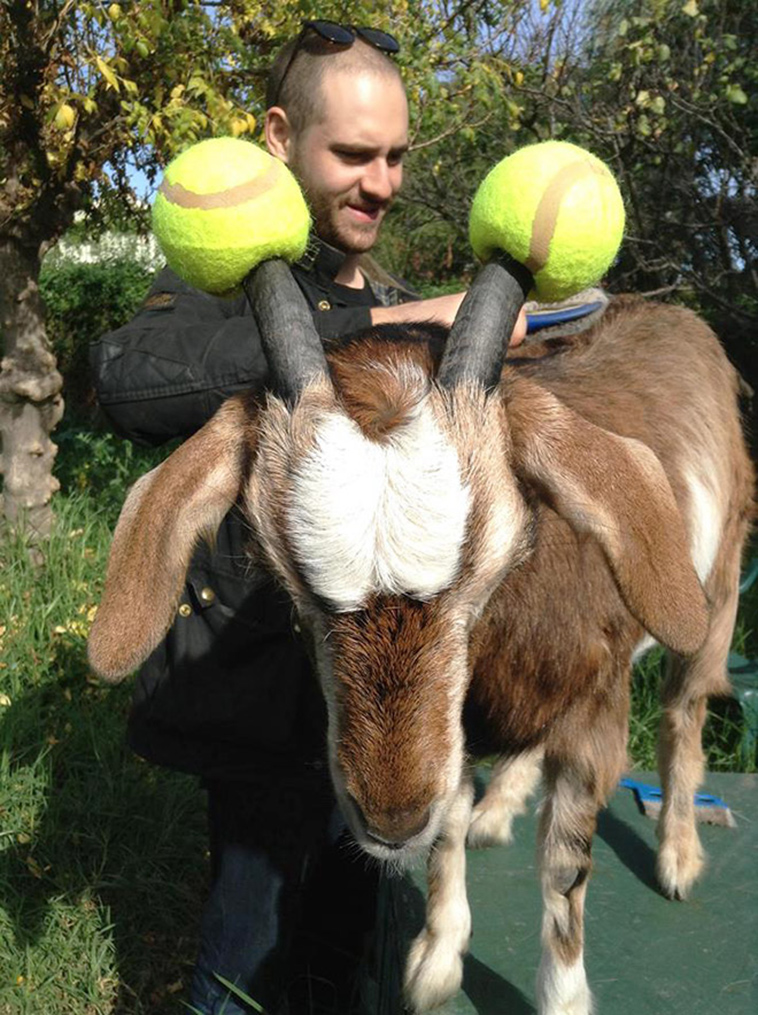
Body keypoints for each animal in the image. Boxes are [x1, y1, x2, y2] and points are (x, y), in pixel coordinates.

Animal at [88, 258, 753, 1015]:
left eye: (496, 562)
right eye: (287, 577)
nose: (391, 819)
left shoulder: (595, 706)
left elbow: (564, 866)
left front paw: (562, 994)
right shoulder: (455, 727)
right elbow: (450, 824)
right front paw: (437, 959)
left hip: (719, 588)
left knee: (683, 710)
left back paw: (677, 853)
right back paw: (501, 807)